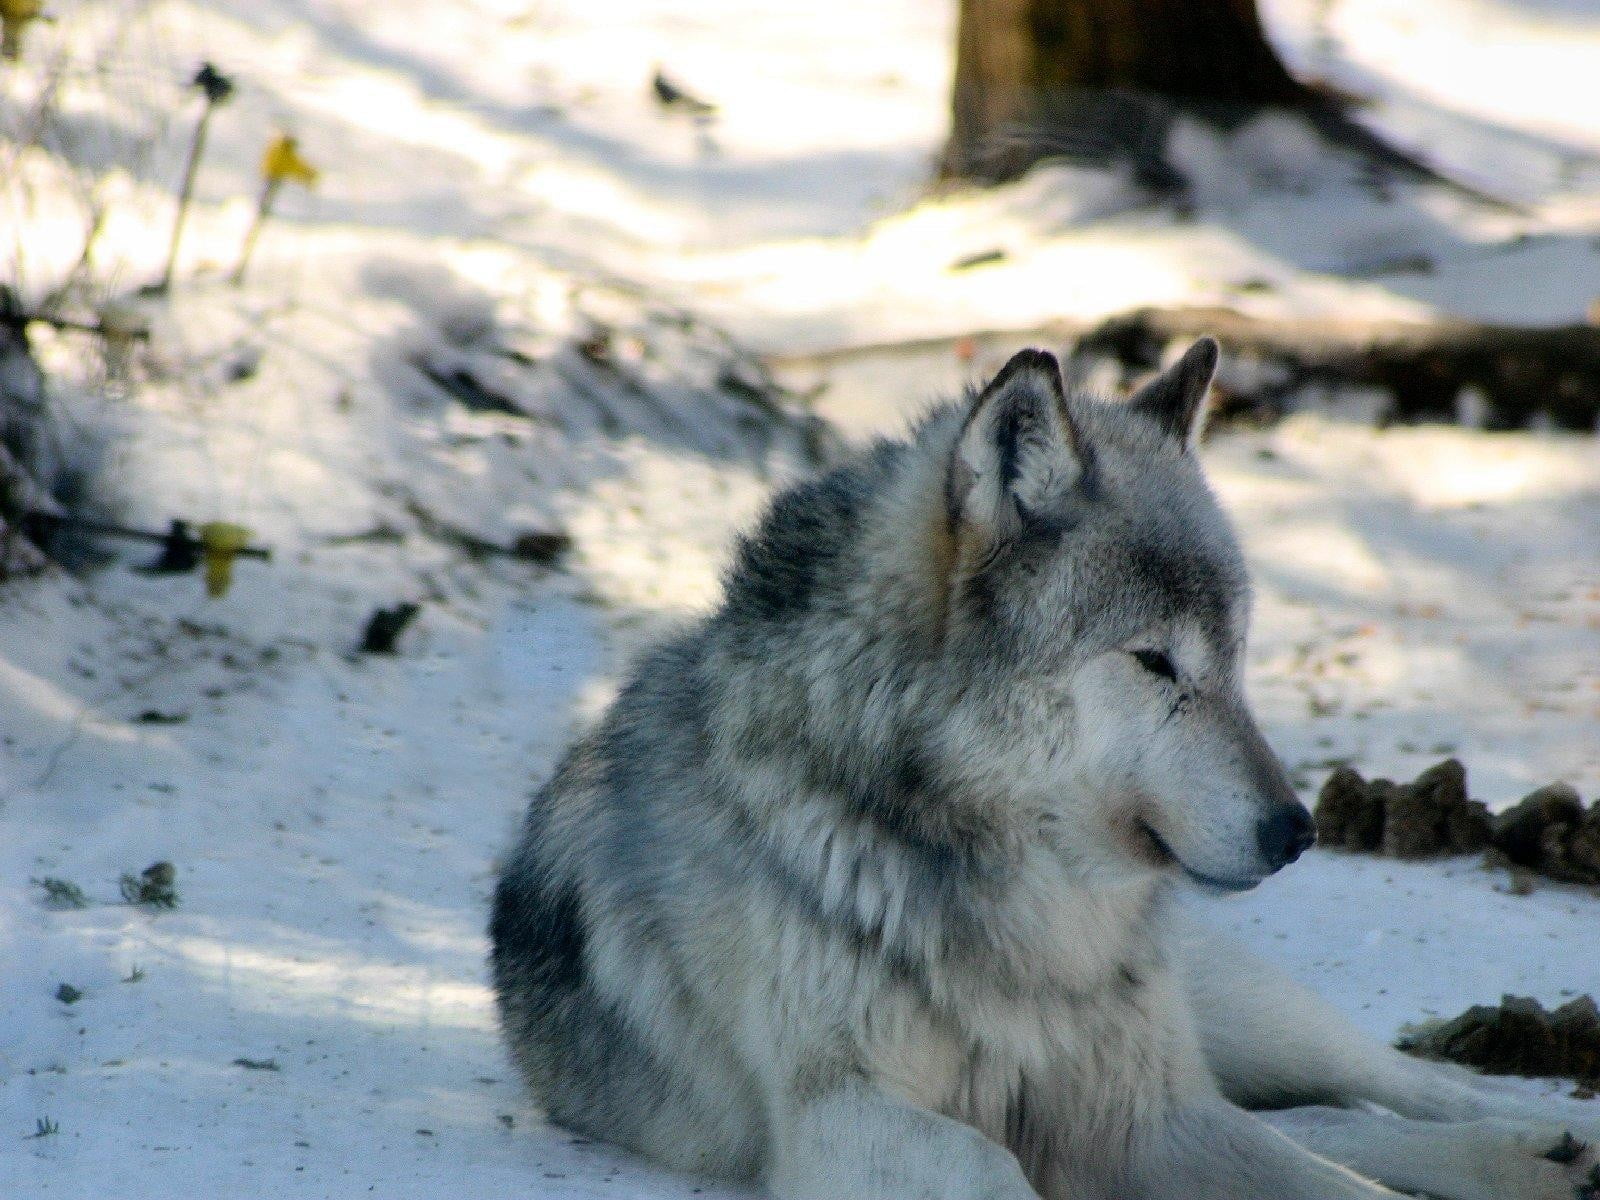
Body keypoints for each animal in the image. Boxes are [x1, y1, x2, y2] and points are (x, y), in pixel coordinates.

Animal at [490, 340, 1600, 1200]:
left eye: (1235, 656)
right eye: (1154, 662)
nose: (1297, 831)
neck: (1019, 913)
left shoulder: (1143, 1115)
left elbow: (1340, 1182)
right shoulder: (838, 1118)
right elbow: (1000, 1164)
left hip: (1243, 1015)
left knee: (1398, 1084)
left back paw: (1541, 1140)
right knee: (1326, 1117)